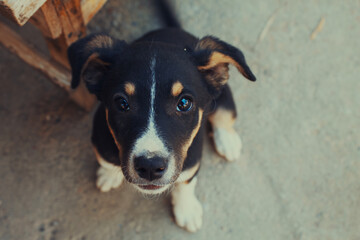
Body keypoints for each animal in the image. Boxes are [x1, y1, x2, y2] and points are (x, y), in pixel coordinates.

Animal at [67, 0, 253, 232]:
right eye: (122, 103)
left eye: (184, 103)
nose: (150, 167)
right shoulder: (100, 138)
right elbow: (106, 161)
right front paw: (108, 176)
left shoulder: (191, 160)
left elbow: (185, 183)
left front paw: (186, 210)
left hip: (222, 95)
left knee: (224, 116)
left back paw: (227, 141)